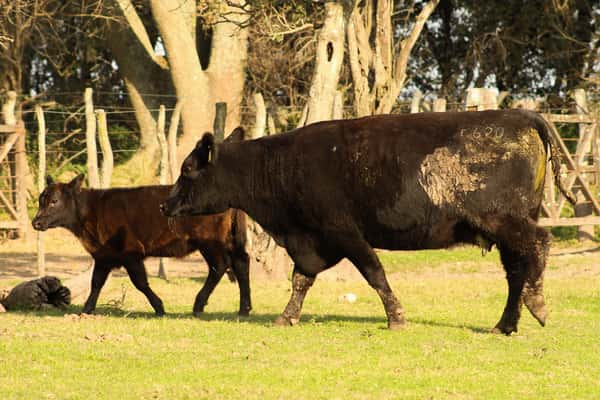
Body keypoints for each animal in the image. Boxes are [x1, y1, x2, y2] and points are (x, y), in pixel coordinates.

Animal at [31, 177, 251, 318]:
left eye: (54, 201)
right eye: (41, 199)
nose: (36, 222)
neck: (92, 212)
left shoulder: (131, 253)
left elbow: (140, 282)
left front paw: (159, 307)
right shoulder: (103, 256)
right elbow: (96, 283)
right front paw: (86, 310)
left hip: (210, 243)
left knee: (220, 266)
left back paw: (199, 304)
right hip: (230, 241)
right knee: (240, 263)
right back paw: (244, 308)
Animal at [162, 111, 576, 332]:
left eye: (186, 169)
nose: (165, 205)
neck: (278, 164)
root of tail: (519, 114)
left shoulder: (345, 232)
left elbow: (374, 273)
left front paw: (396, 317)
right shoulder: (312, 241)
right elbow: (301, 280)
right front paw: (287, 316)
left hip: (505, 220)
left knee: (538, 246)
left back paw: (536, 304)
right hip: (506, 228)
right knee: (516, 269)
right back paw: (506, 324)